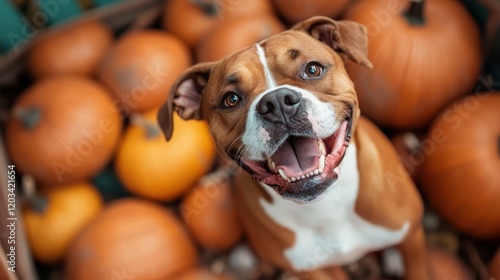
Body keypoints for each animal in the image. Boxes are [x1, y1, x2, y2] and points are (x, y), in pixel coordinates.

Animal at [158, 17, 428, 280]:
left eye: (312, 69)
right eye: (231, 99)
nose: (277, 102)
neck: (327, 205)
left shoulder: (413, 240)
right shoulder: (314, 270)